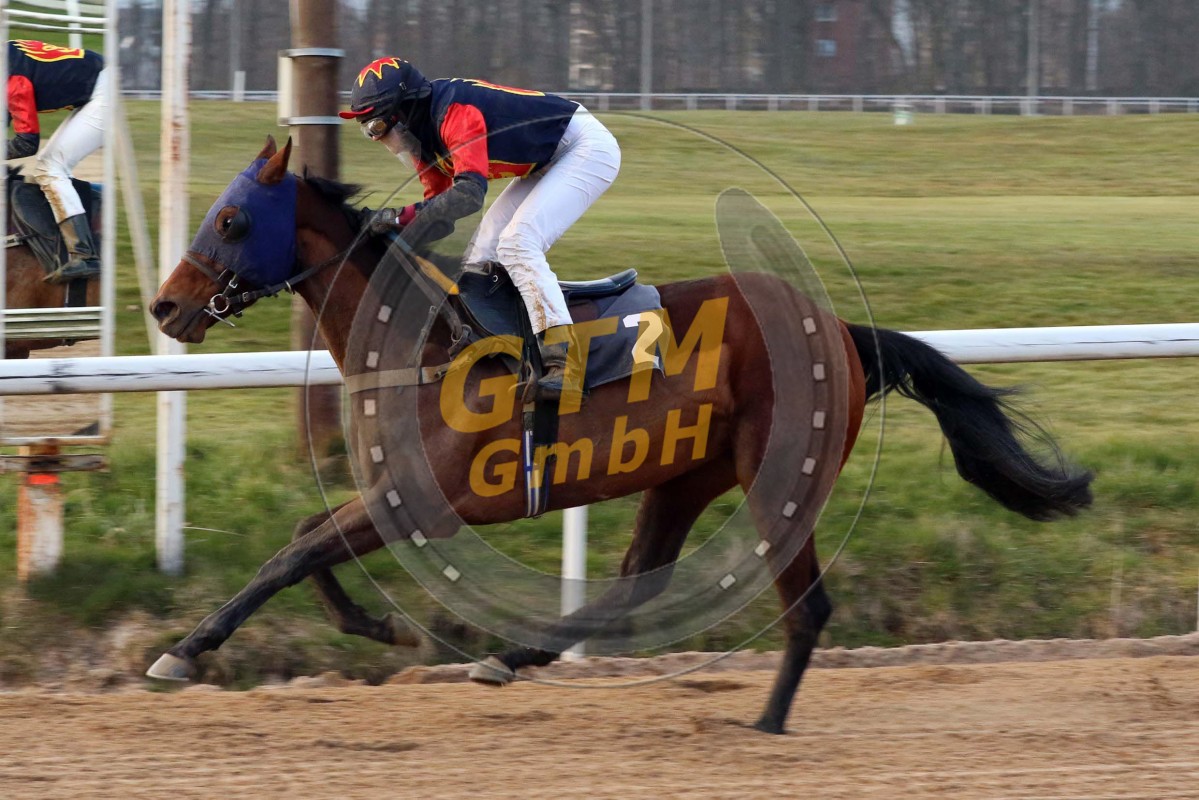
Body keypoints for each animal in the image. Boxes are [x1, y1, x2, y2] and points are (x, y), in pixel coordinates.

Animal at [147, 137, 1092, 734]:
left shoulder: (426, 498)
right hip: (685, 474)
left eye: (231, 220)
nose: (163, 305)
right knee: (641, 580)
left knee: (805, 606)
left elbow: (291, 553)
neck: (420, 344)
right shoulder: (390, 492)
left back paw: (767, 723)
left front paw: (185, 652)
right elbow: (305, 537)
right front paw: (377, 627)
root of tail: (836, 328)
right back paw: (512, 657)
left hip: (775, 470)